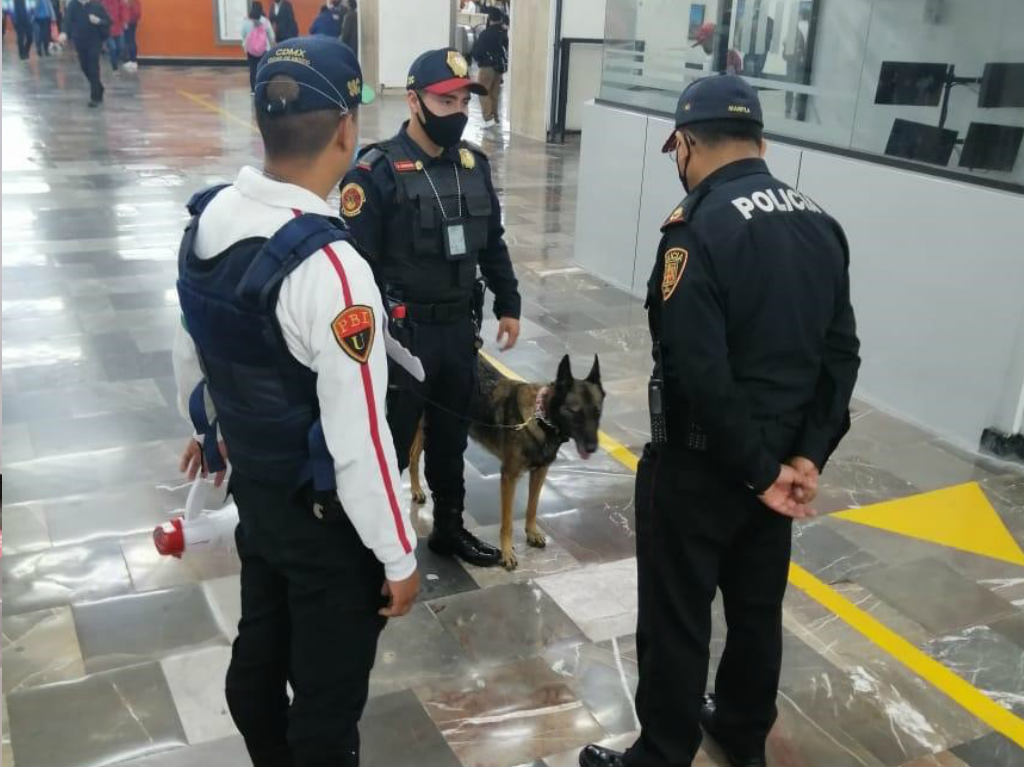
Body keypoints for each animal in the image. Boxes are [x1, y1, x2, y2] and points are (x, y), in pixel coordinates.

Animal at [407, 352, 602, 569]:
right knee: (412, 456)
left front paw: (531, 532)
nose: (593, 447)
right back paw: (415, 490)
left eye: (597, 412)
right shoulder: (509, 477)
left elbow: (532, 507)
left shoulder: (540, 472)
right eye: (575, 411)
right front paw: (507, 552)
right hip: (427, 430)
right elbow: (507, 523)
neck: (541, 418)